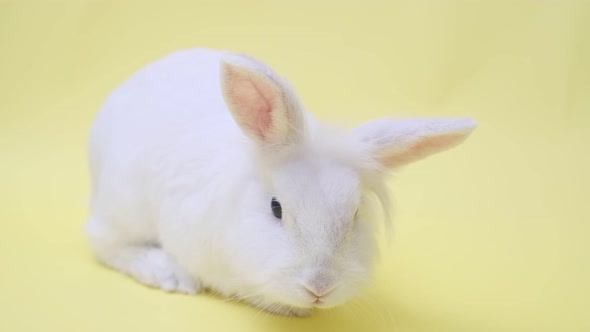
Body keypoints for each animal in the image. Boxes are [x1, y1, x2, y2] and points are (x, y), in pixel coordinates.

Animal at [85, 48, 478, 316]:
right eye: (276, 208)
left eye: (355, 216)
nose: (319, 287)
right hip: (124, 205)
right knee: (103, 241)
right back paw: (166, 273)